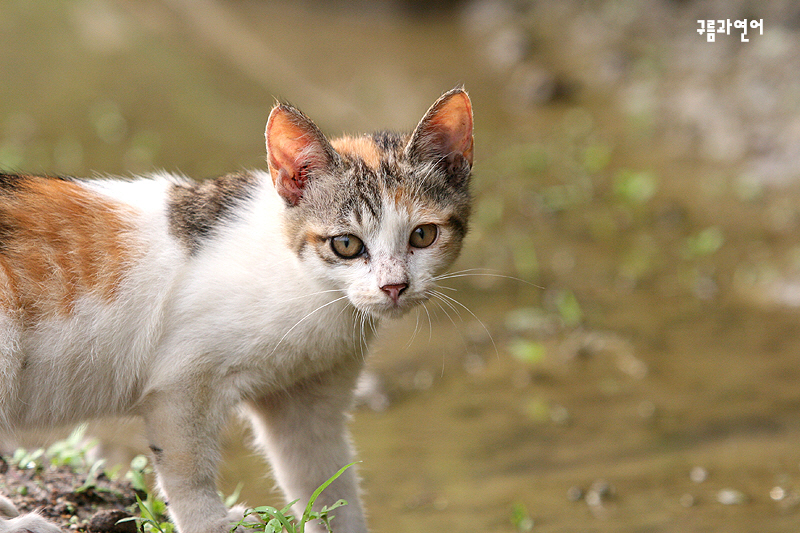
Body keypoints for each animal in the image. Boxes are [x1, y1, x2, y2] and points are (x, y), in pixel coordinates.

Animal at [0, 88, 476, 532]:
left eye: (423, 235)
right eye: (346, 244)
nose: (394, 287)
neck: (313, 292)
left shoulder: (307, 399)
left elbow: (325, 482)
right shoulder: (181, 383)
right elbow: (187, 470)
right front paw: (209, 523)